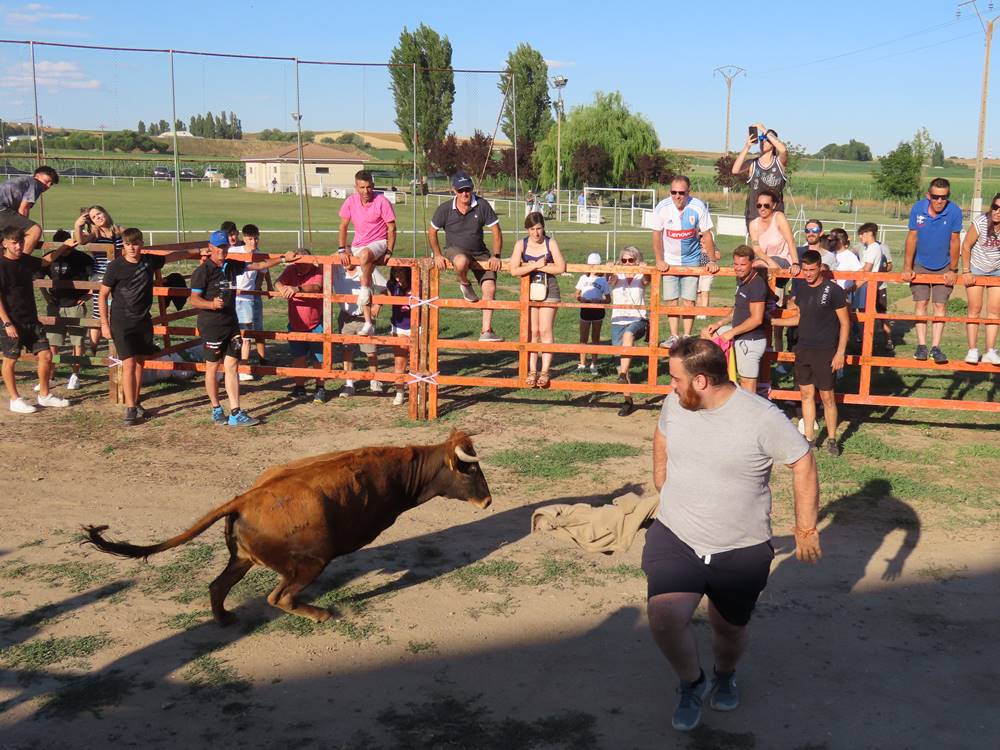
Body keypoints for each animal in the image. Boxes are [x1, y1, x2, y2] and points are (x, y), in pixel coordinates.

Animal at [84, 432, 490, 624]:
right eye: (470, 470)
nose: (487, 502)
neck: (401, 470)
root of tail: (244, 499)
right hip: (308, 564)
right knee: (279, 598)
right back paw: (322, 614)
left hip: (243, 558)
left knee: (218, 585)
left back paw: (224, 618)